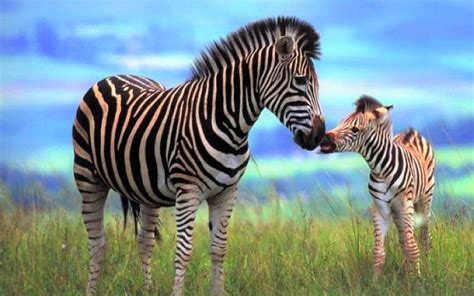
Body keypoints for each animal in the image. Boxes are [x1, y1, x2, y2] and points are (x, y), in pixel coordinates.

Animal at [320, 96, 436, 276]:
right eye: (340, 122)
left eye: (355, 129)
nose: (324, 138)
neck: (381, 170)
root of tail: (411, 132)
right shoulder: (381, 208)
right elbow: (379, 252)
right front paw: (375, 280)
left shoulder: (405, 204)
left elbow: (412, 248)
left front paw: (418, 278)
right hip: (397, 211)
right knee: (403, 238)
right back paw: (405, 271)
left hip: (424, 199)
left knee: (424, 236)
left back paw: (426, 265)